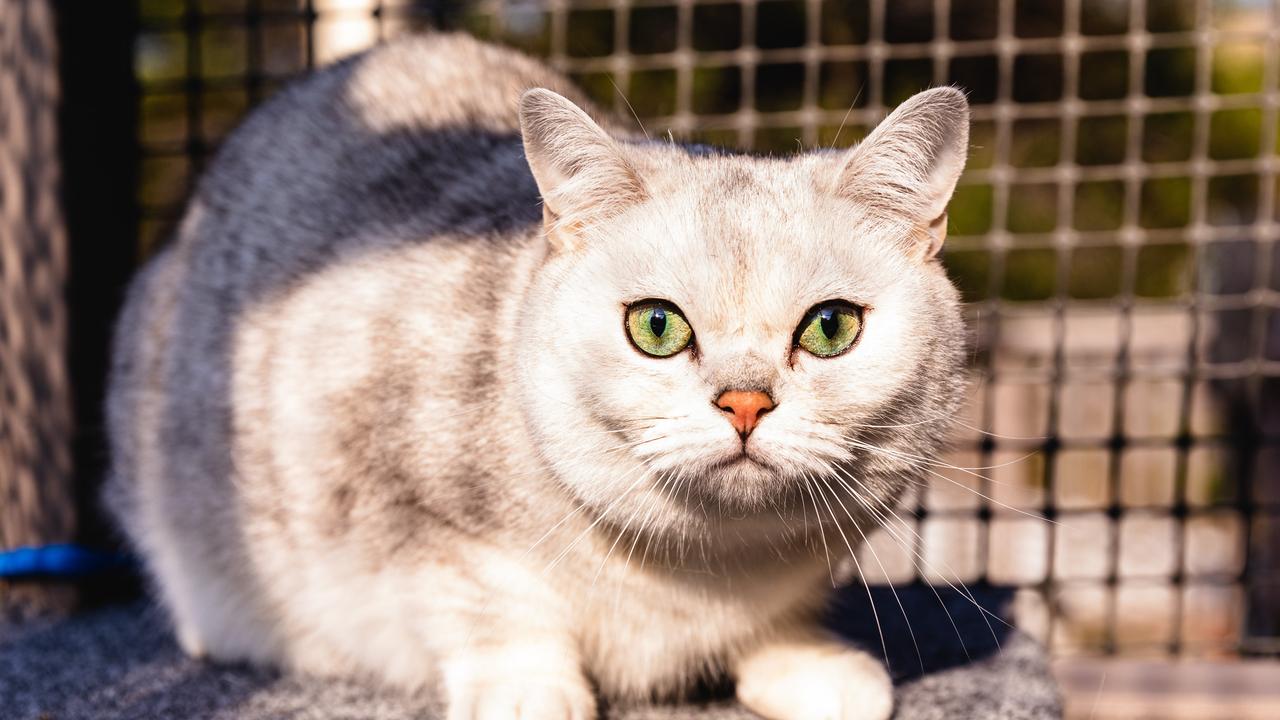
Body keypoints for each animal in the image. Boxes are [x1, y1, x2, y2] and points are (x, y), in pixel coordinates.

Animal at [104, 32, 967, 717]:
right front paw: (527, 689)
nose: (746, 403)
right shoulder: (415, 508)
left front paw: (806, 661)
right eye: (657, 327)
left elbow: (779, 622)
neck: (704, 571)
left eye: (830, 328)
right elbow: (492, 608)